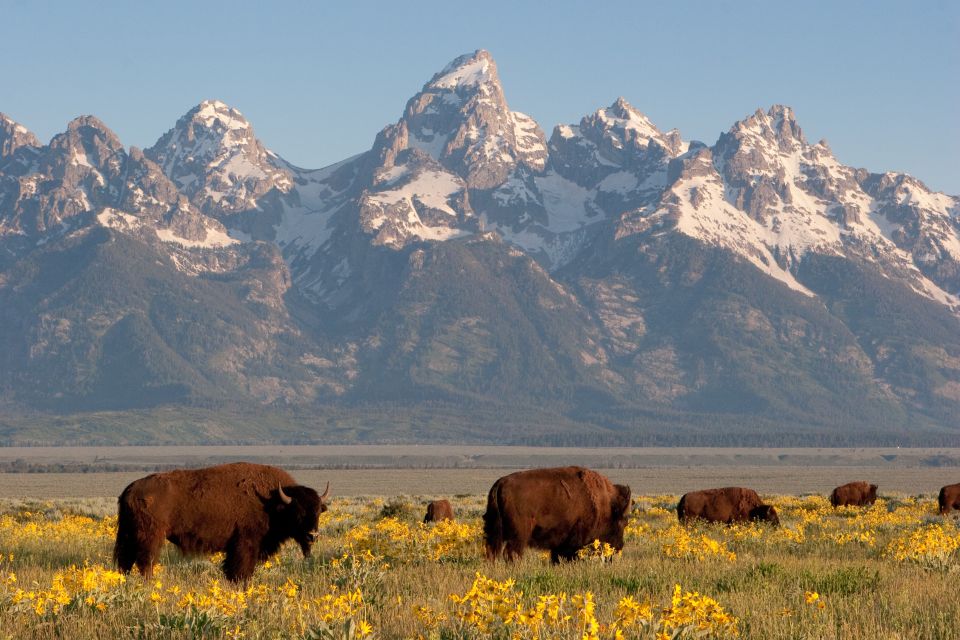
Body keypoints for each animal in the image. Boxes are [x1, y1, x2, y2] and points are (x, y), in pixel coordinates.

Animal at [112, 462, 328, 584]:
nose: (312, 535)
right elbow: (240, 571)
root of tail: (130, 490)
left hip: (129, 535)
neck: (272, 500)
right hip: (150, 538)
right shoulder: (245, 545)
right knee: (145, 563)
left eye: (318, 511)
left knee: (126, 562)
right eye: (299, 512)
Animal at [484, 464, 632, 564]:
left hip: (493, 531)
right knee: (512, 552)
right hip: (519, 535)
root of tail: (499, 484)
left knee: (492, 551)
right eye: (624, 522)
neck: (606, 504)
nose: (619, 546)